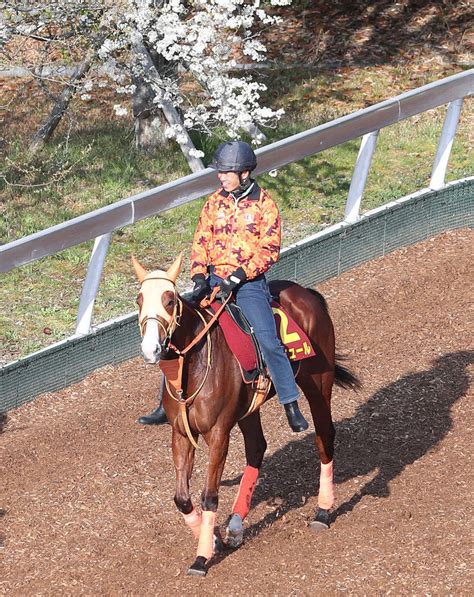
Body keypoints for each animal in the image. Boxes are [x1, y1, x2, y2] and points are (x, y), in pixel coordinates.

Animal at [131, 254, 358, 576]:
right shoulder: (181, 433)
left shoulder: (218, 434)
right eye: (139, 299)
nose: (151, 349)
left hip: (318, 382)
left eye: (170, 300)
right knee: (257, 447)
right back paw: (236, 526)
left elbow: (209, 496)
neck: (195, 364)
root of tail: (306, 293)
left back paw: (323, 511)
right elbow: (182, 498)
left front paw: (202, 557)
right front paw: (212, 539)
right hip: (248, 409)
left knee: (323, 436)